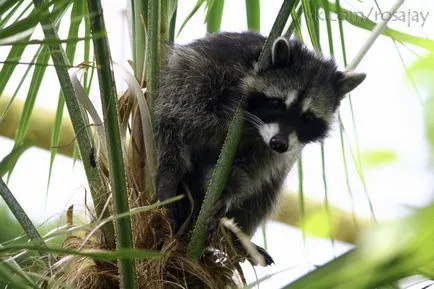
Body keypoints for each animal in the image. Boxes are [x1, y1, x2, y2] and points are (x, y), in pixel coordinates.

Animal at [154, 32, 364, 264]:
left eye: (307, 118)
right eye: (276, 103)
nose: (278, 143)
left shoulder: (271, 151)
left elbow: (247, 172)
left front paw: (227, 194)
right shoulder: (204, 76)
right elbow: (179, 121)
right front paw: (170, 175)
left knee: (266, 190)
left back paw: (238, 237)